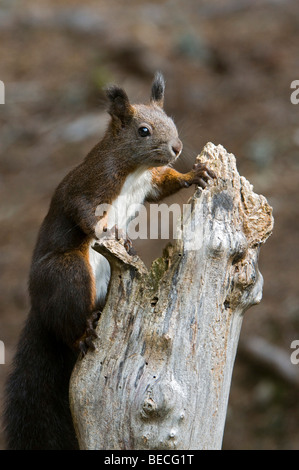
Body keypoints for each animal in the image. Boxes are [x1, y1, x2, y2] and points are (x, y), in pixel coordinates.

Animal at [2, 71, 216, 450]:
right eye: (143, 130)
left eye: (171, 121)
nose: (176, 148)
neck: (133, 170)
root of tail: (38, 307)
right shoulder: (89, 186)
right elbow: (82, 212)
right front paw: (111, 230)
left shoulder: (150, 183)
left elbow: (164, 186)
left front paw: (195, 174)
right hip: (68, 272)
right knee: (69, 322)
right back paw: (83, 335)